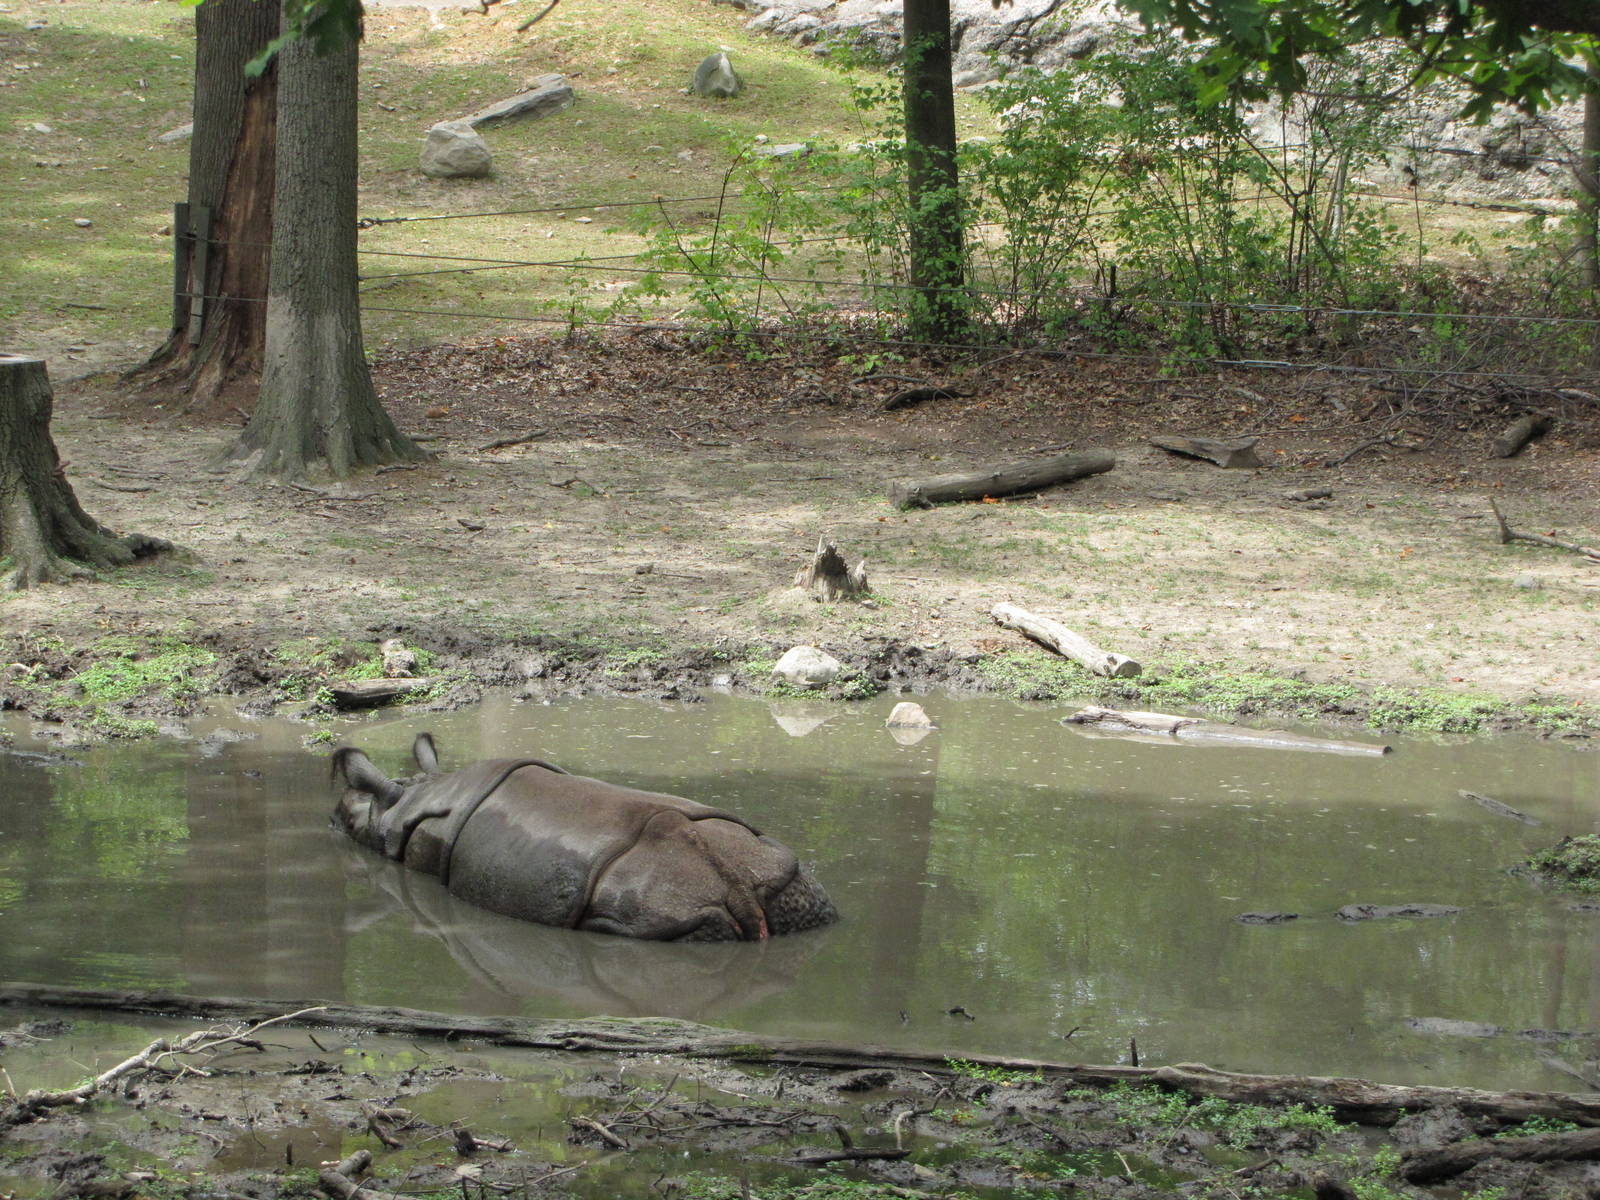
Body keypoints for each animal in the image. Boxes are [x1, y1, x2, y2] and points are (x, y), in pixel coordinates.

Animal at [331, 734, 838, 942]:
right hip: (779, 873)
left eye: (349, 821)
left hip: (655, 908)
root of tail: (738, 889)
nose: (332, 819)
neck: (411, 797)